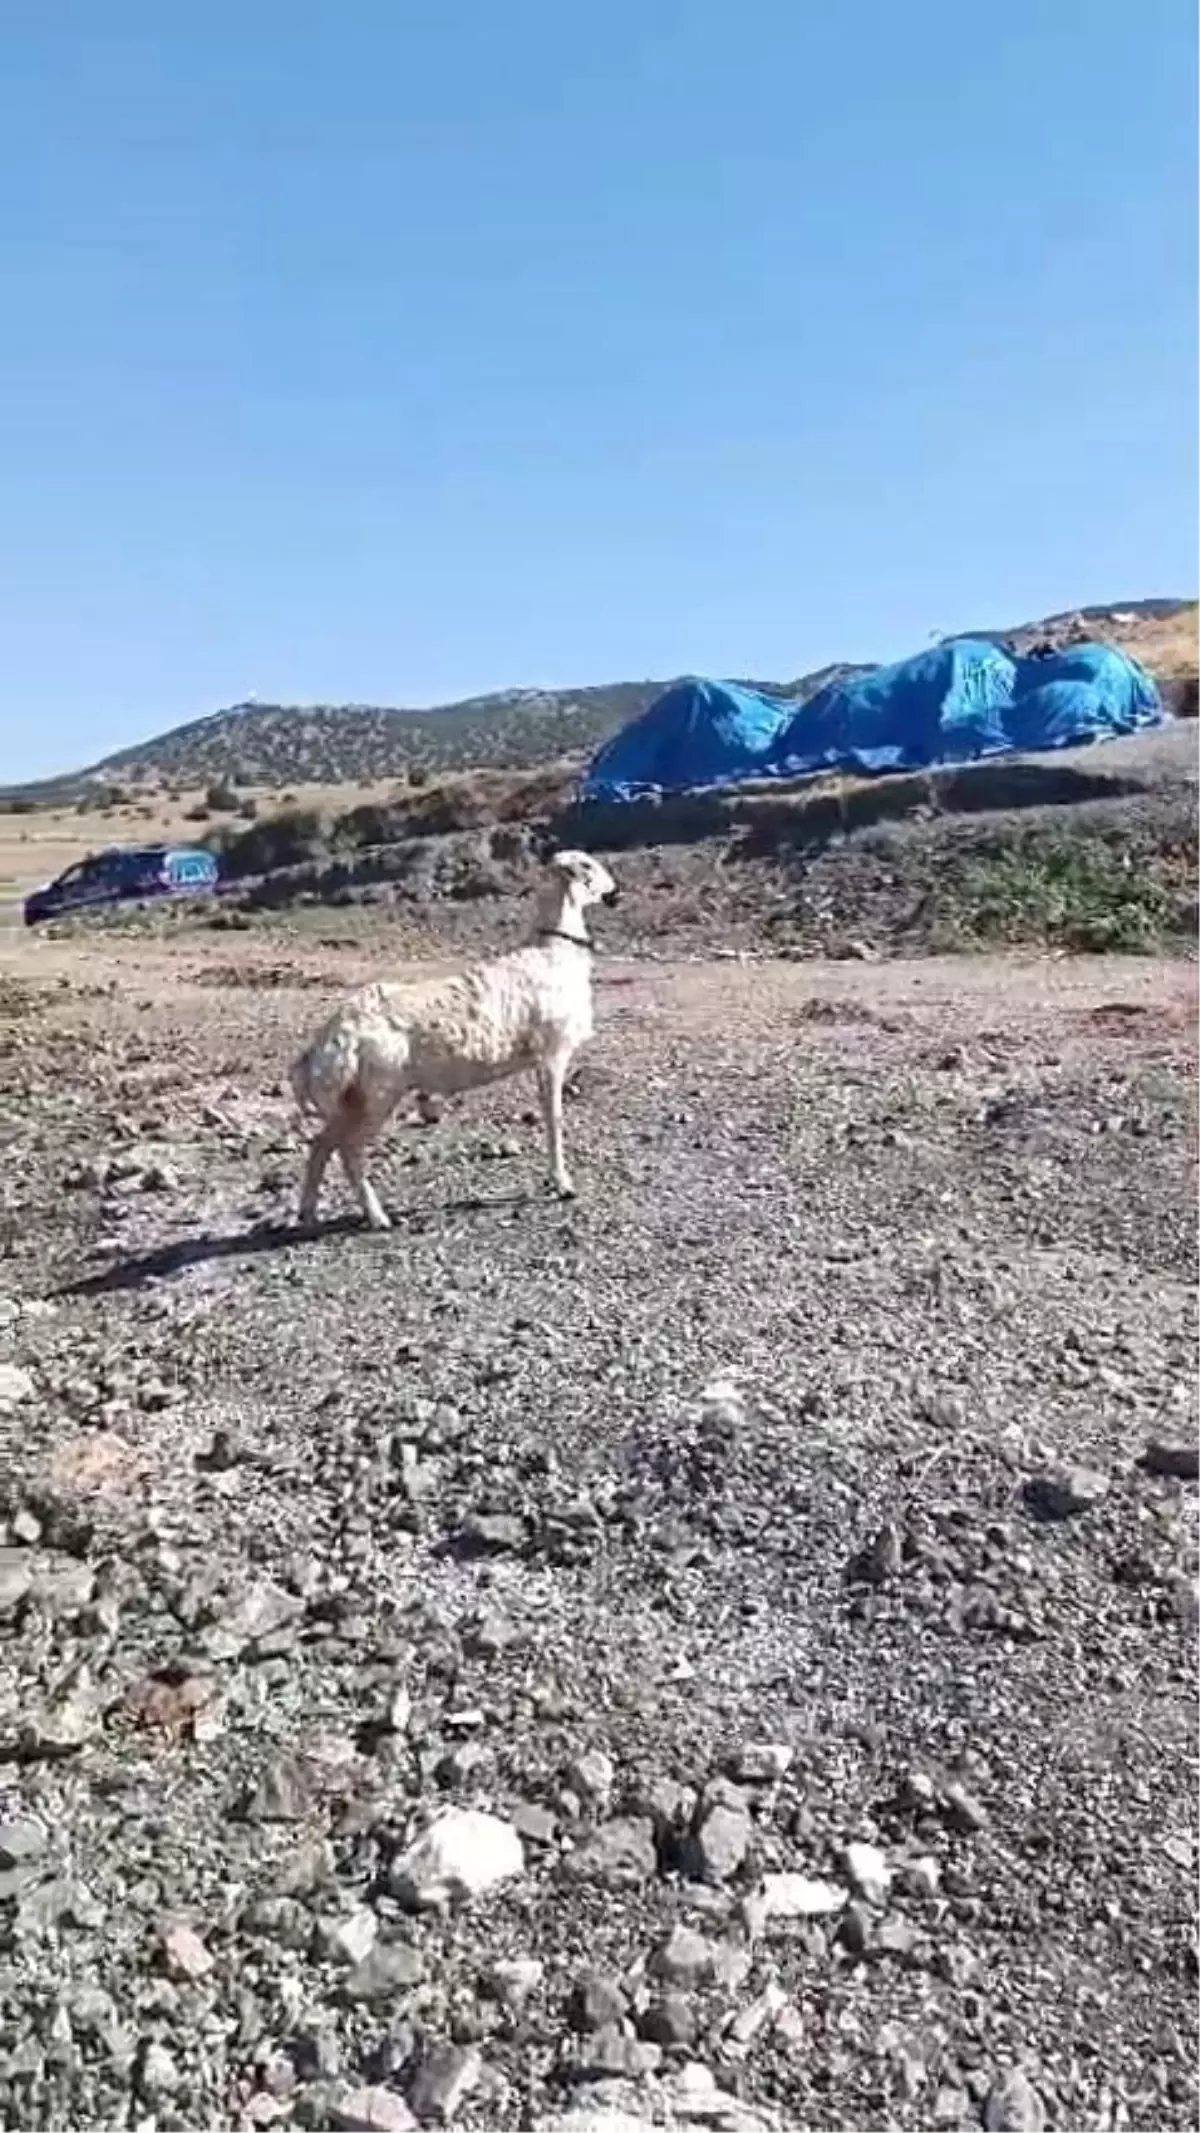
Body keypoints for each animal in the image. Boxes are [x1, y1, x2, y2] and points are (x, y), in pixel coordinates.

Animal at [294, 840, 618, 1228]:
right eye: (587, 865)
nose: (615, 893)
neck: (553, 953)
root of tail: (330, 1041)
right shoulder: (552, 1052)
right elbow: (554, 1117)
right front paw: (562, 1185)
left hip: (352, 1099)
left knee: (321, 1145)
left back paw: (308, 1212)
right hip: (377, 1093)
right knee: (348, 1150)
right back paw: (377, 1216)